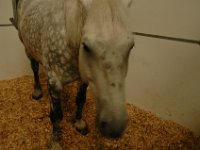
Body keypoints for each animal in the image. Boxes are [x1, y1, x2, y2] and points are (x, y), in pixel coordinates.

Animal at [12, 0, 134, 148]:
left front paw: (79, 123)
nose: (114, 127)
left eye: (131, 46)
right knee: (34, 68)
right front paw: (55, 143)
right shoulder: (54, 82)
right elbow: (56, 115)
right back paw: (37, 91)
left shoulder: (84, 78)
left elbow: (80, 99)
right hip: (27, 48)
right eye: (86, 46)